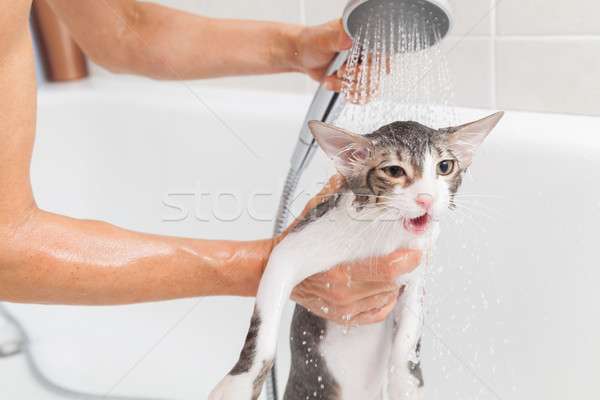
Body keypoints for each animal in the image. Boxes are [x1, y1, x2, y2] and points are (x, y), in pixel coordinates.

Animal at [209, 110, 504, 400]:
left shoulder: (415, 273)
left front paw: (406, 385)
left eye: (444, 167)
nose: (427, 198)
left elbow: (406, 341)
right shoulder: (291, 248)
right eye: (394, 171)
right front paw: (236, 387)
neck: (385, 233)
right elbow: (262, 330)